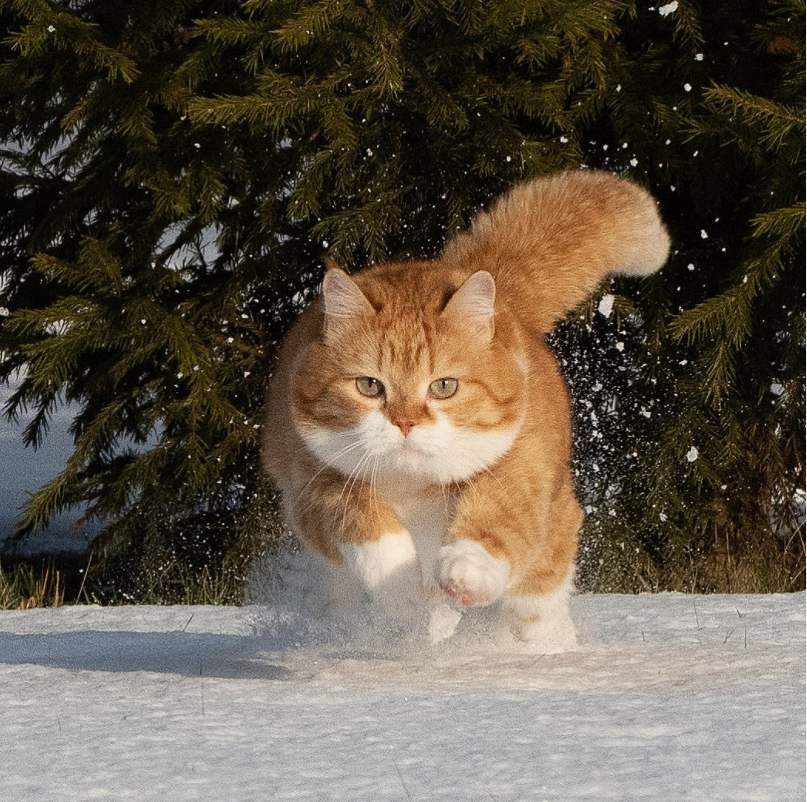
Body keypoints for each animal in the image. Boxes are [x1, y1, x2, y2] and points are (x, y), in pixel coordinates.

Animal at [264, 169, 668, 648]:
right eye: (369, 385)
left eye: (444, 386)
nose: (405, 422)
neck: (414, 487)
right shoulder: (311, 484)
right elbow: (364, 522)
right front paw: (405, 594)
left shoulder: (522, 465)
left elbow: (502, 514)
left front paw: (467, 572)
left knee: (540, 589)